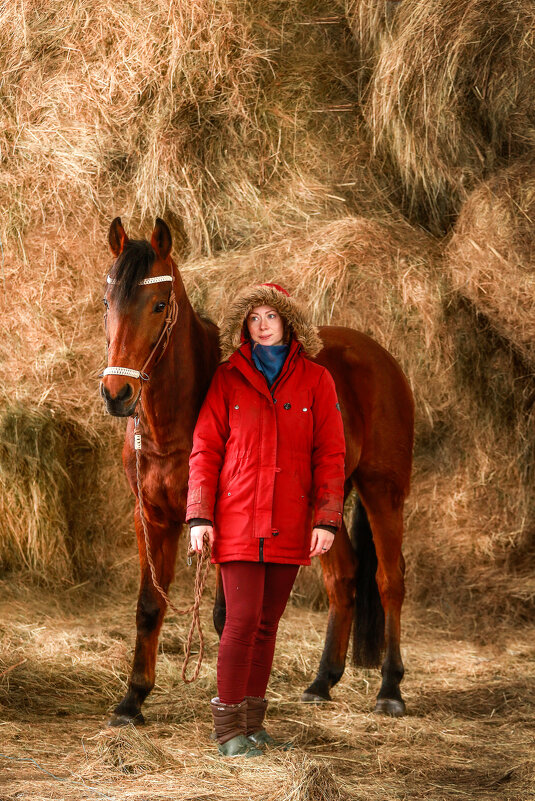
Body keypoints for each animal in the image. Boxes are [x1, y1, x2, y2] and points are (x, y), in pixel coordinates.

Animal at [100, 216, 414, 720]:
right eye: (107, 302)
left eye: (159, 304)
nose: (116, 394)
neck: (180, 416)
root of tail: (378, 355)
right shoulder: (149, 516)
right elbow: (149, 605)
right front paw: (133, 700)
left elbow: (228, 615)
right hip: (322, 502)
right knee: (343, 575)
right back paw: (322, 681)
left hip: (382, 489)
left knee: (390, 580)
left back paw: (390, 688)